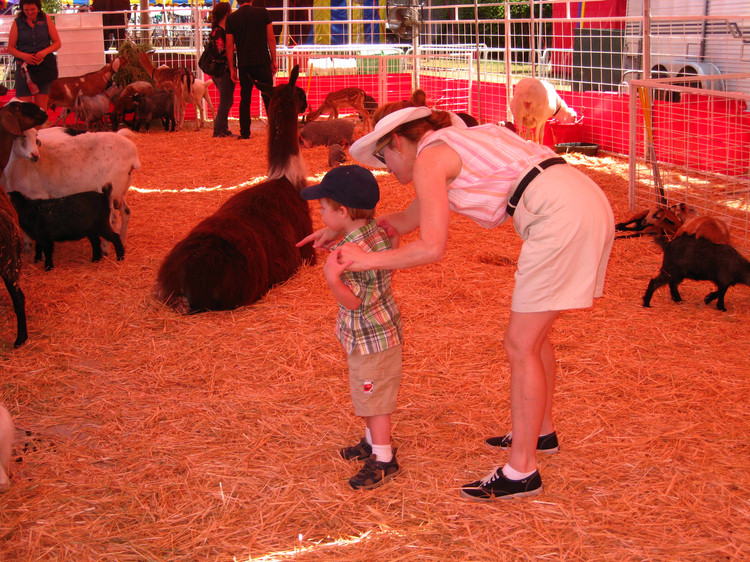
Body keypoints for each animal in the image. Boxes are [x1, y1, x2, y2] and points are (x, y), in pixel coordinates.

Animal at [2, 127, 141, 241]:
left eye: (34, 136)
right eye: (20, 136)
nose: (35, 155)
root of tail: (133, 154)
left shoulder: (37, 195)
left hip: (111, 190)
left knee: (113, 220)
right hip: (120, 191)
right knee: (126, 212)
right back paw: (122, 240)